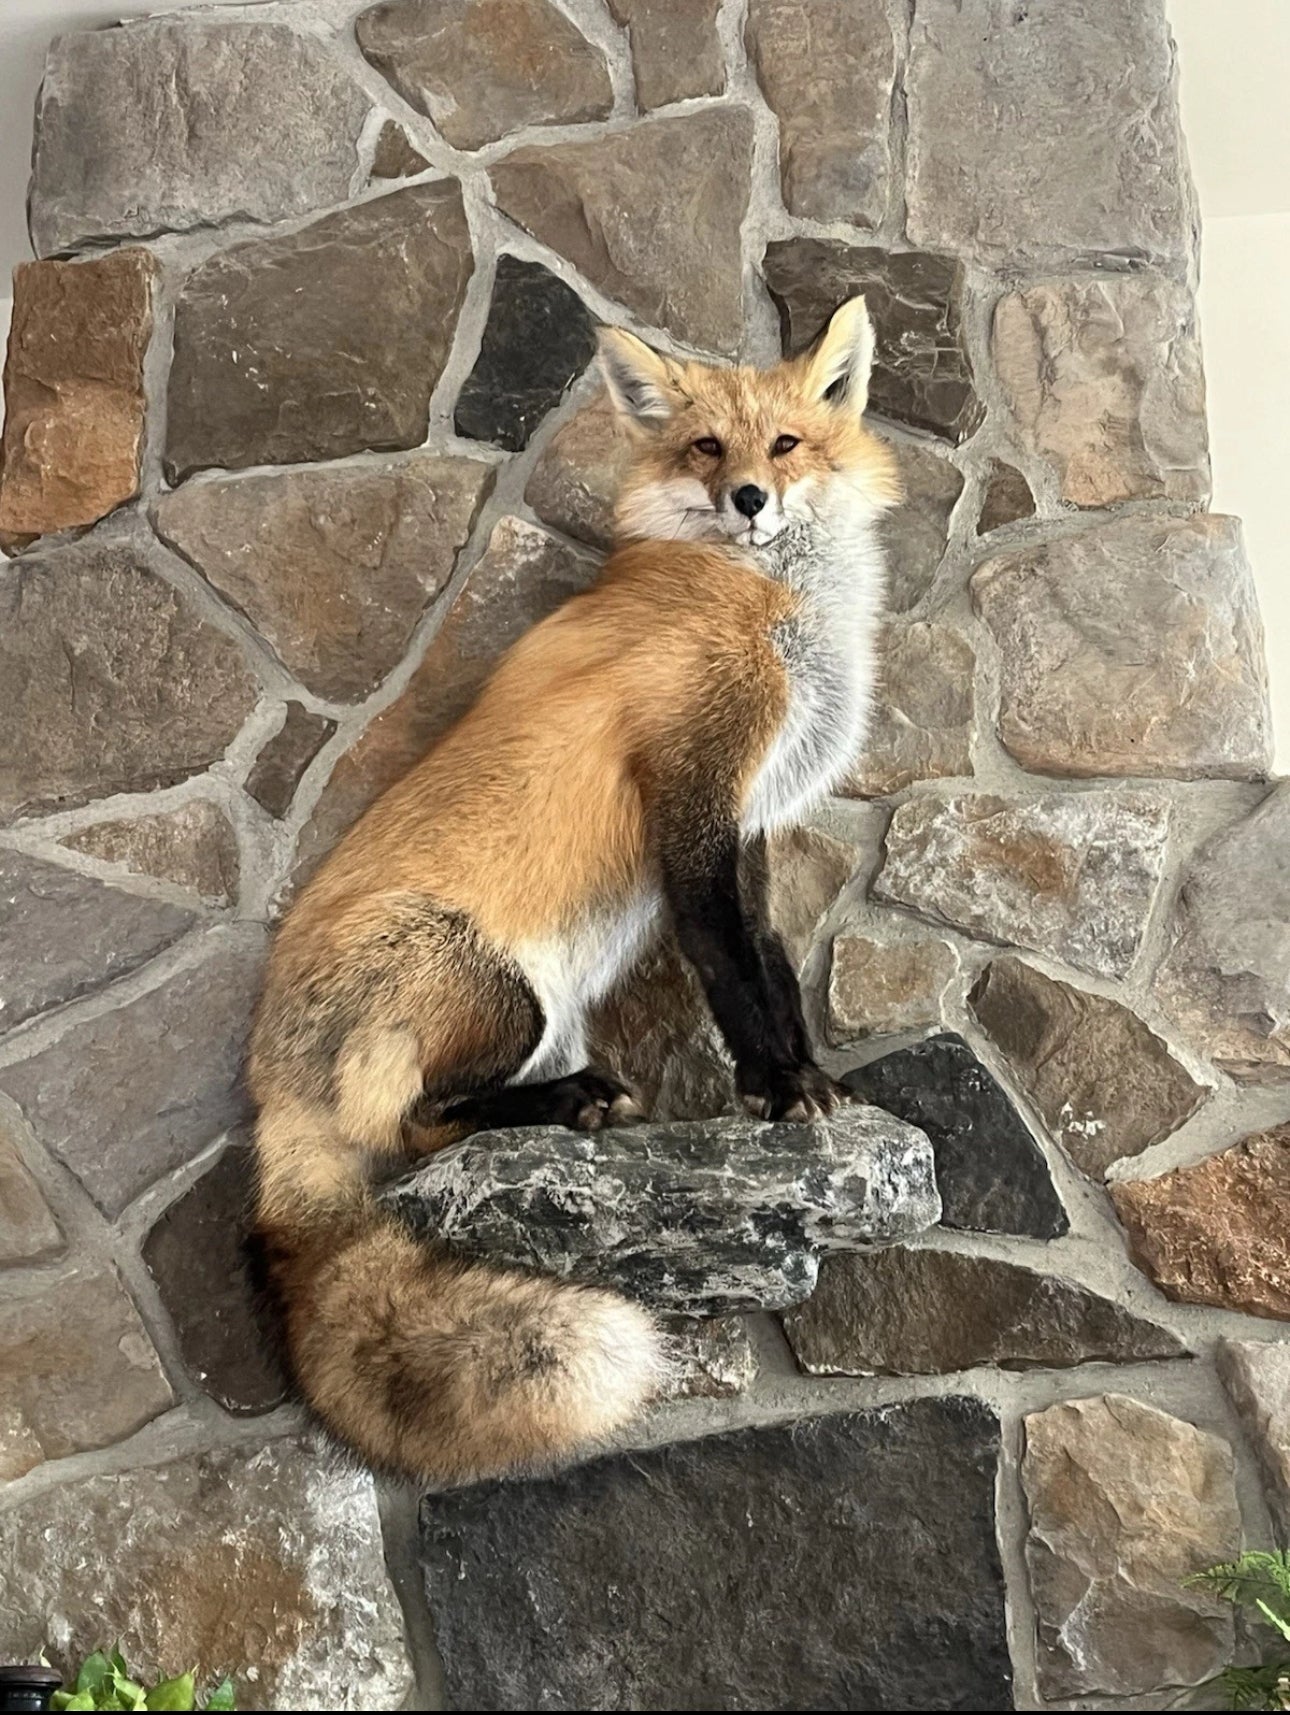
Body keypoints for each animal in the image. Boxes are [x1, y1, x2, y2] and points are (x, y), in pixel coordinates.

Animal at [248, 296, 901, 1486]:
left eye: (785, 444)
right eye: (707, 449)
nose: (749, 499)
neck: (768, 601)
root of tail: (271, 1087)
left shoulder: (744, 823)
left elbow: (773, 964)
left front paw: (802, 1076)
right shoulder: (691, 795)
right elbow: (729, 967)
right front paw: (777, 1087)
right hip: (503, 991)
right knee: (419, 1127)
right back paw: (573, 1103)